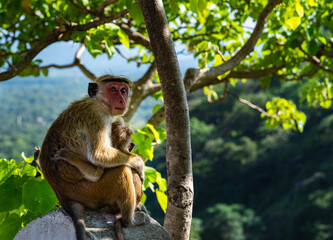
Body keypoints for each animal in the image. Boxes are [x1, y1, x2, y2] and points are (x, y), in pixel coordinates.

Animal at [38, 75, 144, 240]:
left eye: (123, 90)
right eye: (113, 89)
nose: (122, 100)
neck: (98, 102)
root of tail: (63, 197)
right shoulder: (97, 115)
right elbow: (98, 155)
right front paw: (138, 162)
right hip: (90, 192)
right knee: (121, 171)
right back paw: (127, 220)